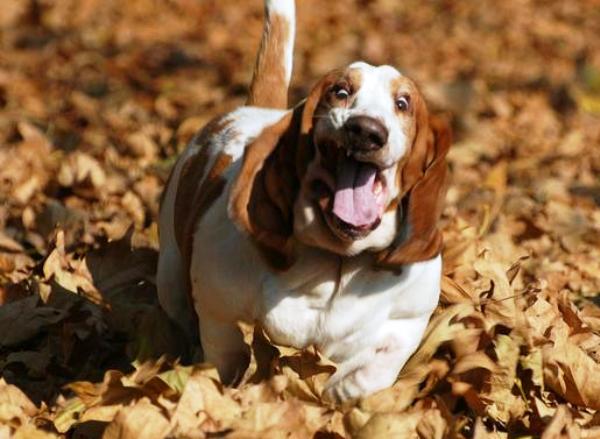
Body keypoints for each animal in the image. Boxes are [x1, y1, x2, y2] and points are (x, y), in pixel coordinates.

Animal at [158, 0, 450, 402]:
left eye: (403, 103)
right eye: (340, 92)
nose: (366, 130)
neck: (338, 260)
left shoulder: (406, 322)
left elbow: (369, 372)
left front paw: (336, 401)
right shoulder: (218, 310)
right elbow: (228, 357)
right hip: (170, 273)